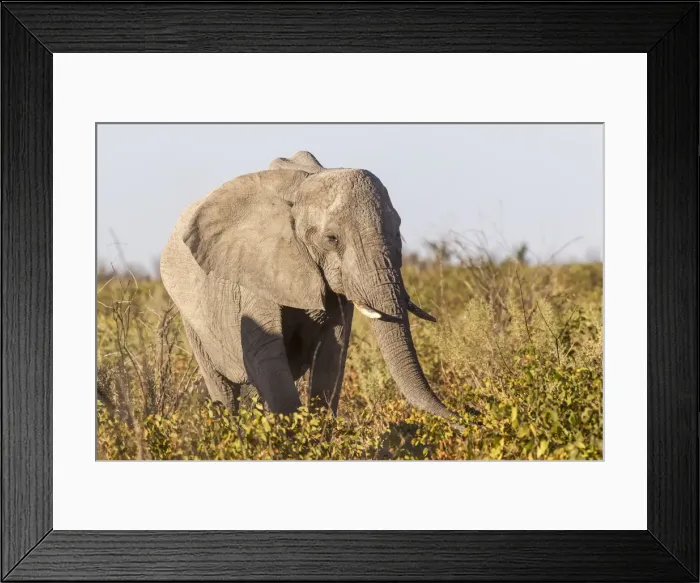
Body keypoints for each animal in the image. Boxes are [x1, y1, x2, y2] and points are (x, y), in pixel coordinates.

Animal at [160, 151, 465, 428]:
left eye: (398, 230)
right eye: (331, 239)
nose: (466, 417)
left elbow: (332, 356)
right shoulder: (255, 273)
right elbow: (267, 356)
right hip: (192, 321)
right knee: (225, 391)